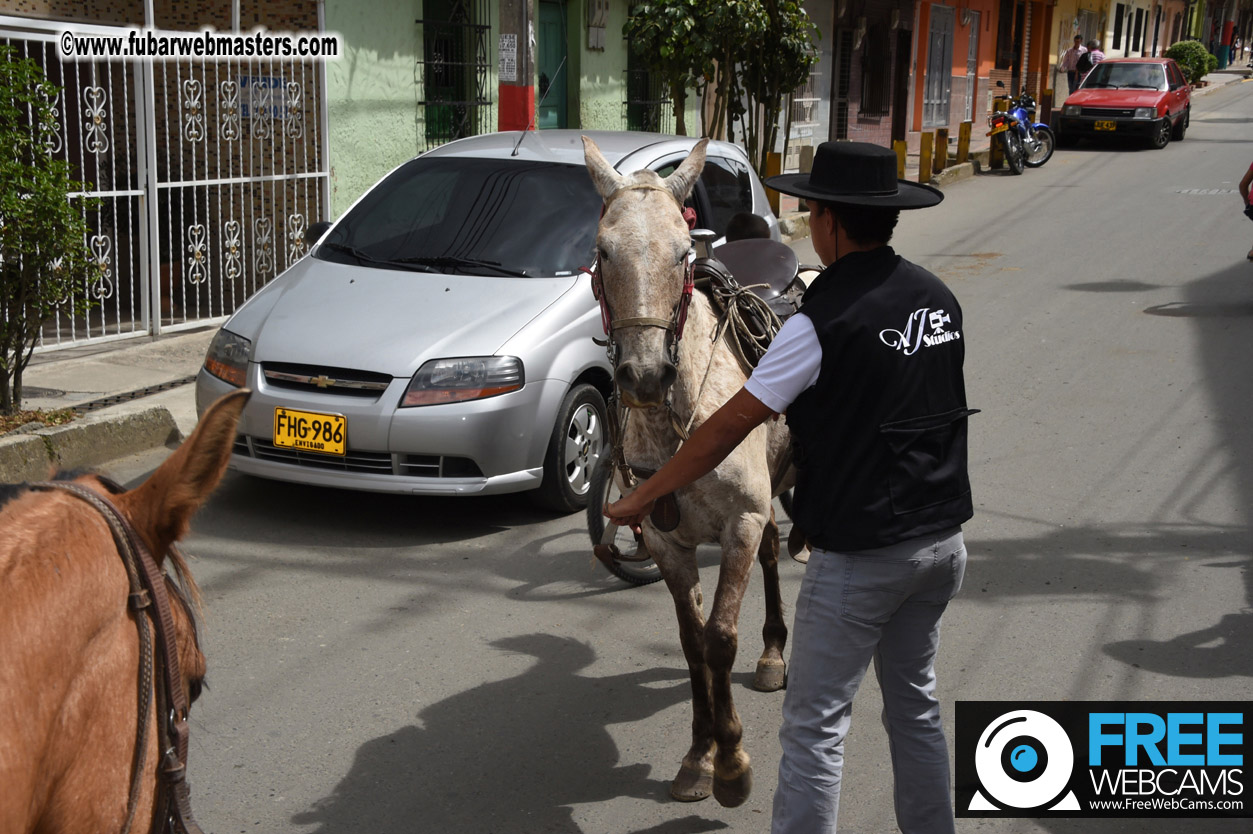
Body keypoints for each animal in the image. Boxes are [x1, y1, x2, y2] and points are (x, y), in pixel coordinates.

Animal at [583, 137, 791, 806]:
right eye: (603, 251)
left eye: (681, 252)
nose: (645, 375)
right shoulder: (665, 541)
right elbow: (693, 643)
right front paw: (701, 755)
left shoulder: (740, 523)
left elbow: (721, 638)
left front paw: (732, 763)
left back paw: (774, 652)